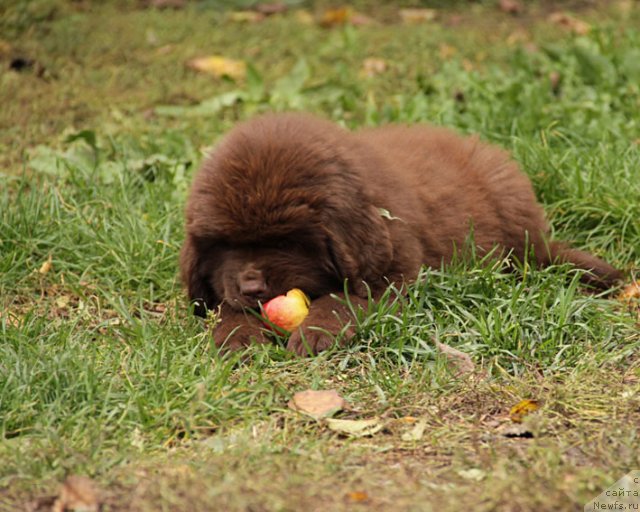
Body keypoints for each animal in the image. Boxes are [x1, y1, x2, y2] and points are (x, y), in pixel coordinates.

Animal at [180, 112, 620, 354]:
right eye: (225, 244)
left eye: (286, 241)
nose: (253, 287)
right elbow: (225, 306)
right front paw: (238, 333)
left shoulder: (392, 276)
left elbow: (343, 298)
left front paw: (316, 333)